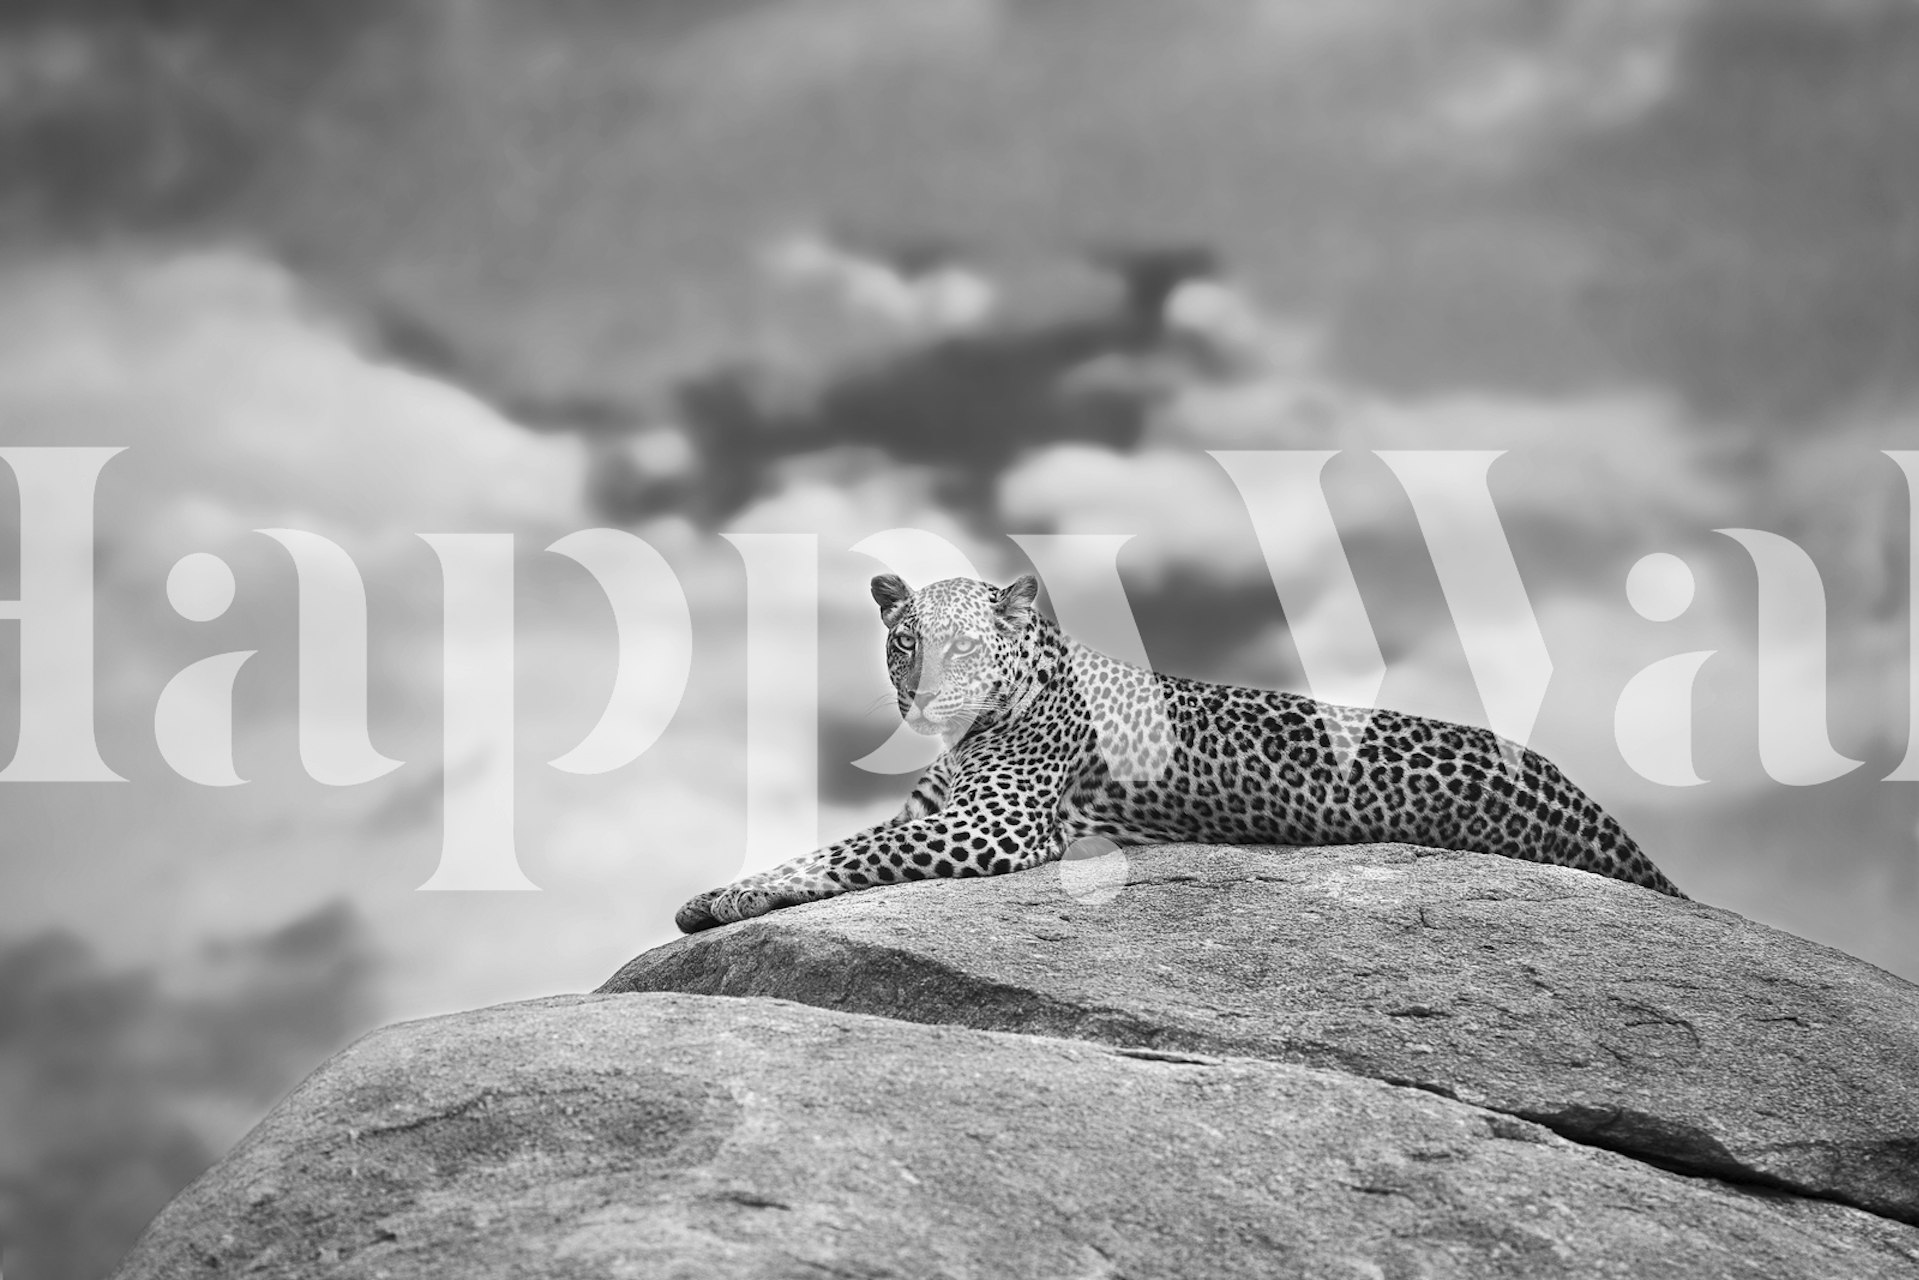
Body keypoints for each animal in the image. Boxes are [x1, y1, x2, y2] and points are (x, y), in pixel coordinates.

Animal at [675, 573, 1685, 932]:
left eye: (959, 649)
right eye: (902, 644)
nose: (918, 697)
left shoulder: (991, 825)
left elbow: (847, 851)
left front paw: (727, 897)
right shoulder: (939, 811)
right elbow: (844, 842)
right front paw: (718, 892)